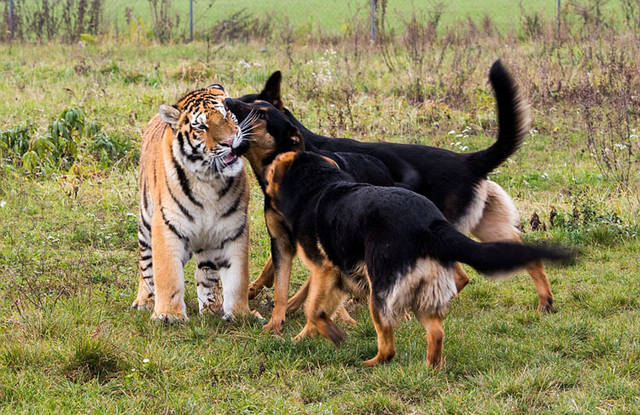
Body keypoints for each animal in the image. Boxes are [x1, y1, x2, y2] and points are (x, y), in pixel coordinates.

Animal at [131, 84, 251, 324]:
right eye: (201, 127)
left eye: (227, 114)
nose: (229, 141)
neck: (210, 180)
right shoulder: (167, 226)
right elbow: (167, 274)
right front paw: (169, 315)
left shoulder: (234, 230)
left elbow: (237, 279)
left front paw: (240, 314)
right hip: (146, 223)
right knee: (146, 264)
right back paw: (145, 301)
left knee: (206, 272)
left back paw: (212, 308)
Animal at [230, 61, 556, 334]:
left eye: (252, 107)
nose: (227, 100)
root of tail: (468, 160)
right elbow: (277, 272)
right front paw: (261, 293)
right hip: (479, 226)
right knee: (514, 257)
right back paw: (545, 301)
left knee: (459, 276)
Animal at [262, 152, 572, 368]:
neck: (319, 183)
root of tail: (429, 223)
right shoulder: (337, 276)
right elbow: (317, 310)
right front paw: (302, 338)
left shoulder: (324, 269)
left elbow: (312, 309)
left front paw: (327, 335)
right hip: (424, 291)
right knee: (436, 332)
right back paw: (430, 367)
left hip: (380, 292)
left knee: (389, 347)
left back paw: (373, 363)